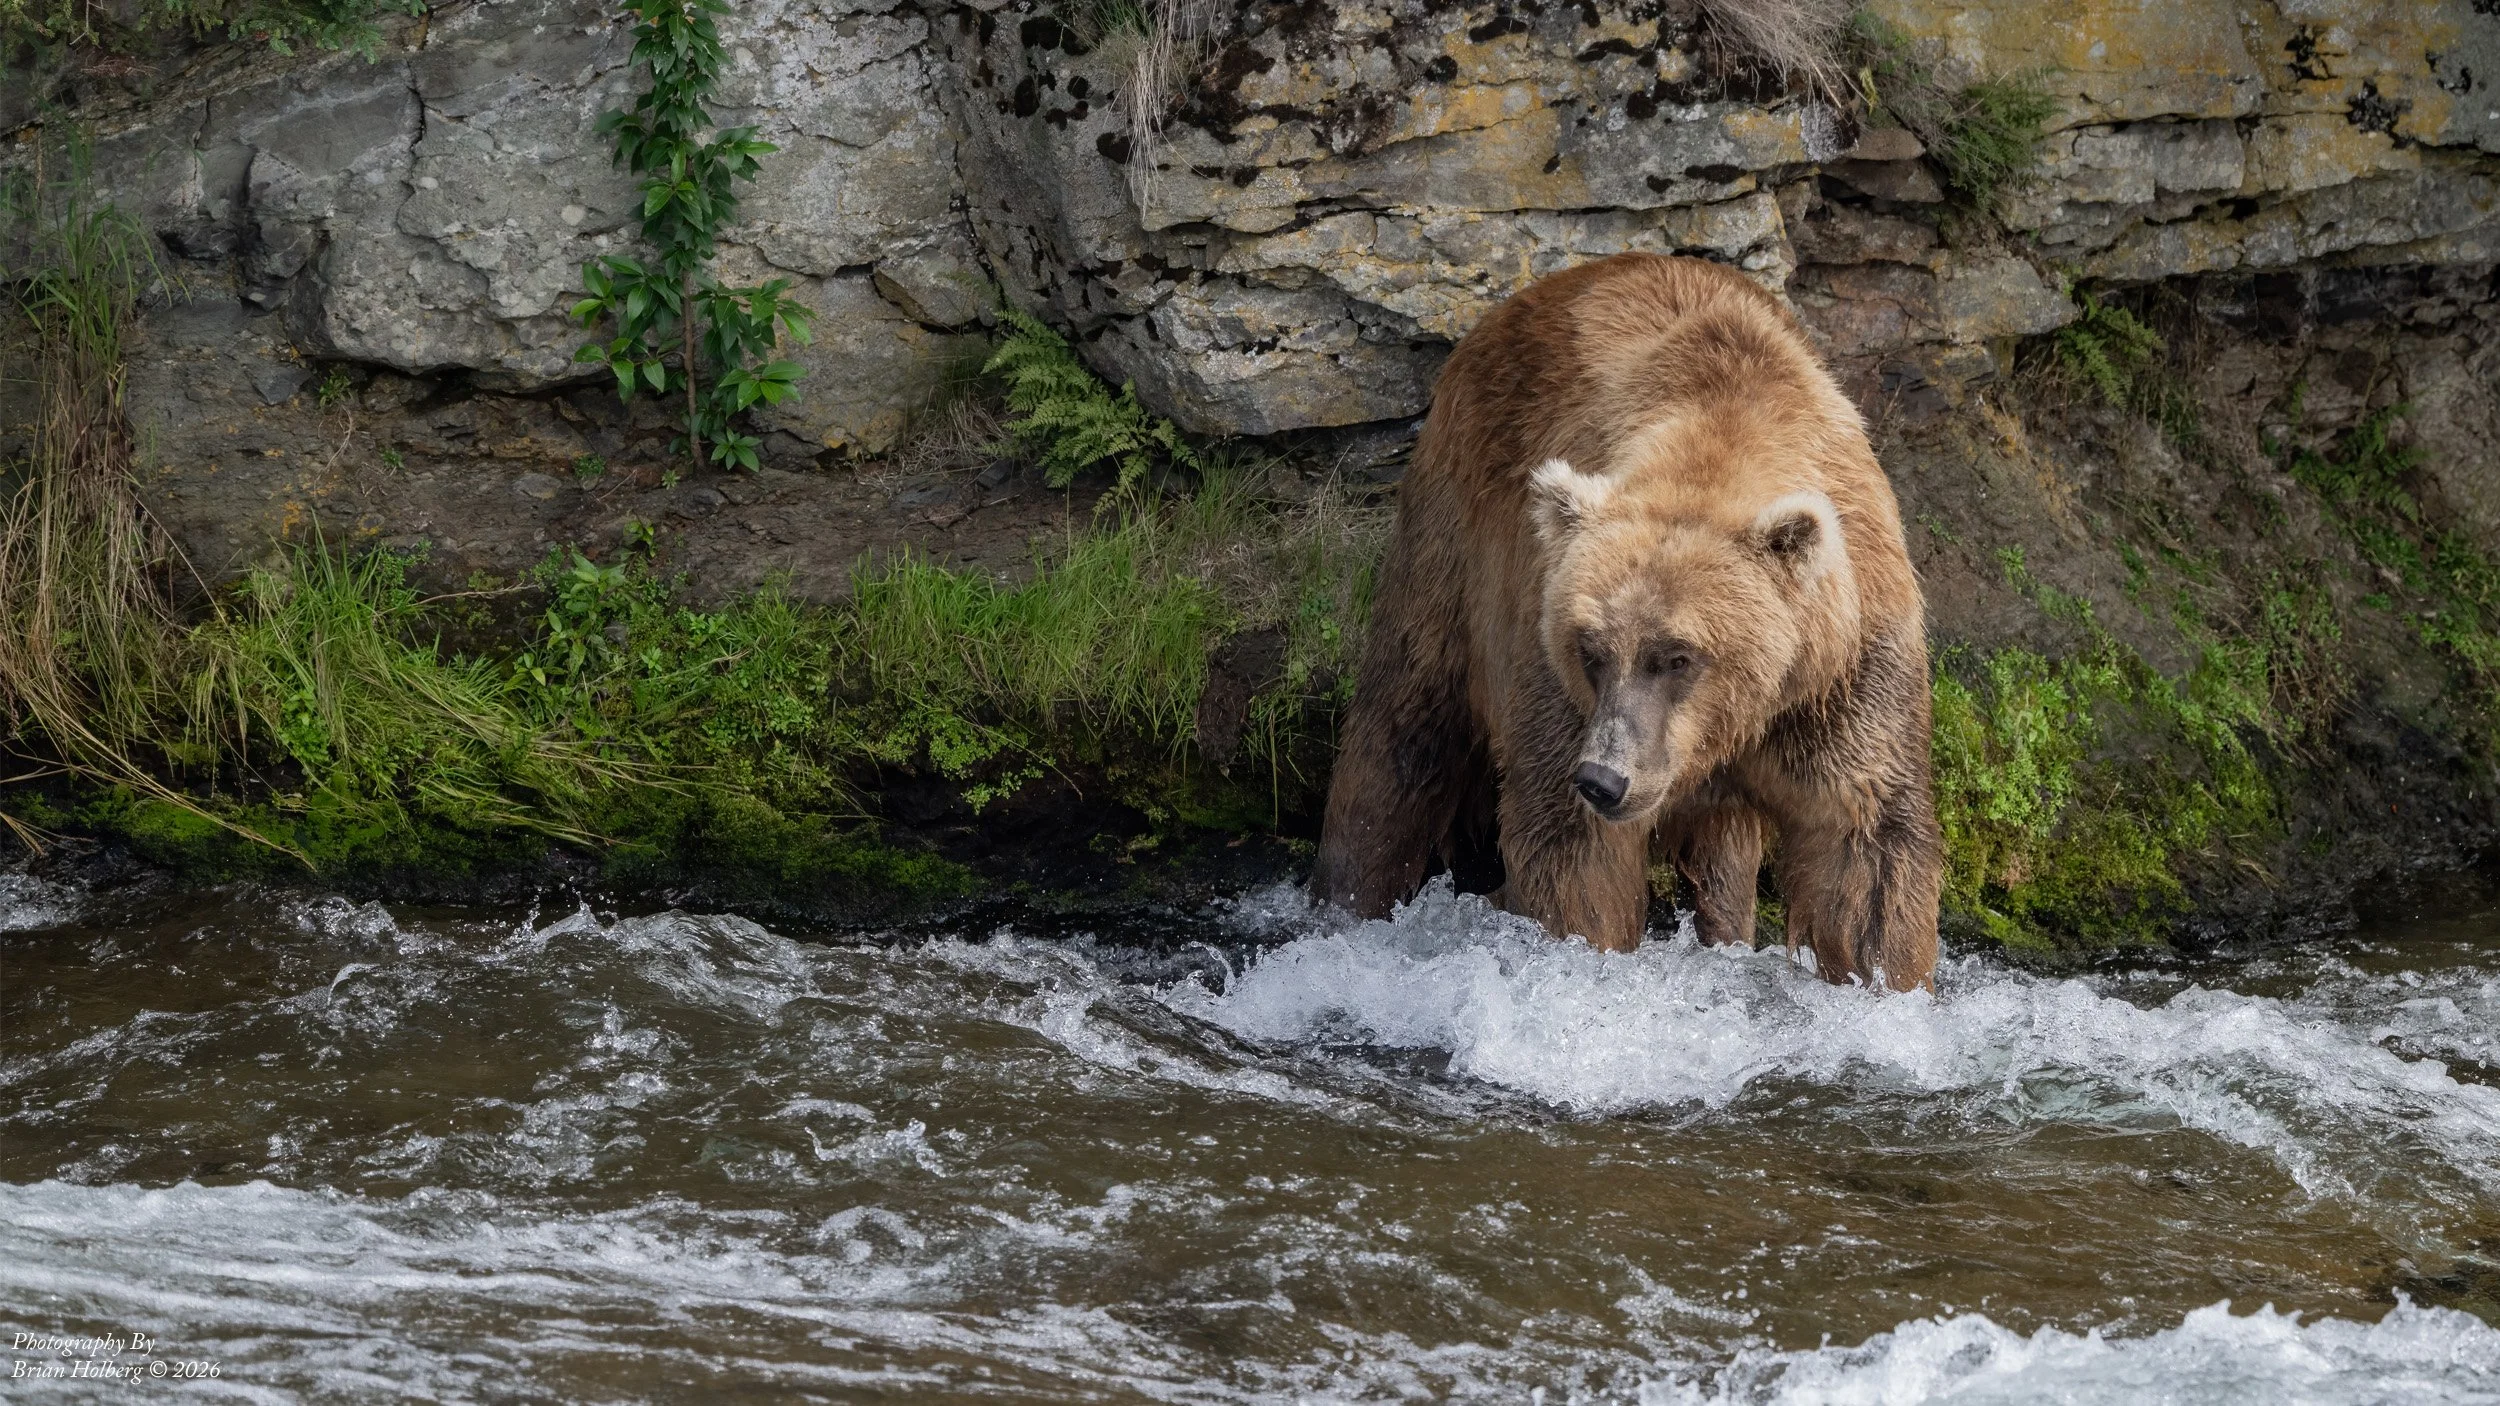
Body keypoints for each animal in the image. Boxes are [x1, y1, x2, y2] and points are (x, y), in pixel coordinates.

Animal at [1310, 252, 1941, 991]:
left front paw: (1886, 980)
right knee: (1403, 728)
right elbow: (1573, 849)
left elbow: (1867, 847)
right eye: (1591, 649)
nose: (1604, 779)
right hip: (1452, 537)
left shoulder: (1842, 674)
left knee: (1725, 860)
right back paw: (1345, 898)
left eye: (1679, 655)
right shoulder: (1549, 658)